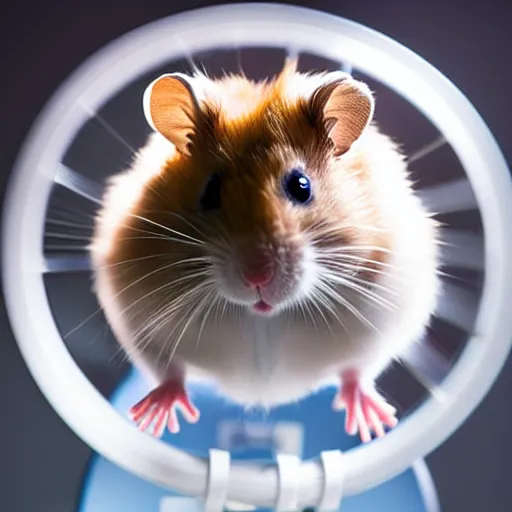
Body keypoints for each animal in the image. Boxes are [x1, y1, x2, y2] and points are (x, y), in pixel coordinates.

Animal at [89, 60, 440, 442]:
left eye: (301, 186)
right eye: (210, 192)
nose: (258, 277)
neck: (263, 316)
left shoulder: (386, 317)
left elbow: (358, 370)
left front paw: (374, 424)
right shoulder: (138, 320)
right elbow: (167, 369)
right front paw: (153, 421)